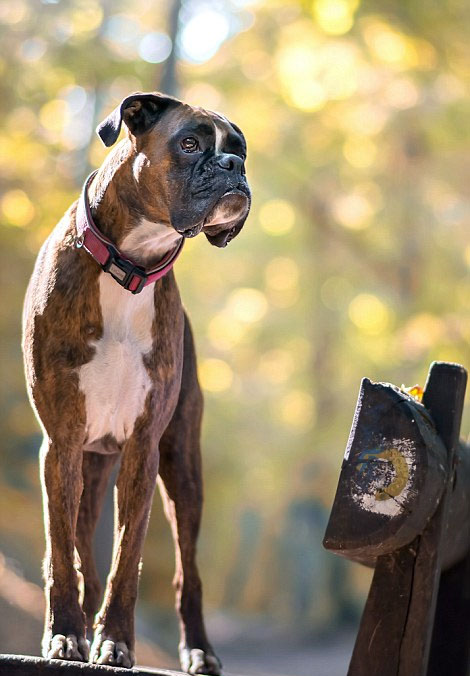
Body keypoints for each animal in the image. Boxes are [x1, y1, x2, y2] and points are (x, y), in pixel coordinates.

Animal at [23, 92, 250, 672]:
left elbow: (129, 556)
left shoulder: (143, 450)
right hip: (89, 462)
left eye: (240, 151)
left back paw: (199, 649)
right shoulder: (62, 444)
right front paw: (66, 633)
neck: (128, 267)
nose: (234, 168)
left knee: (187, 573)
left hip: (182, 470)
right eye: (190, 143)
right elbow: (64, 551)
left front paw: (115, 640)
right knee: (79, 543)